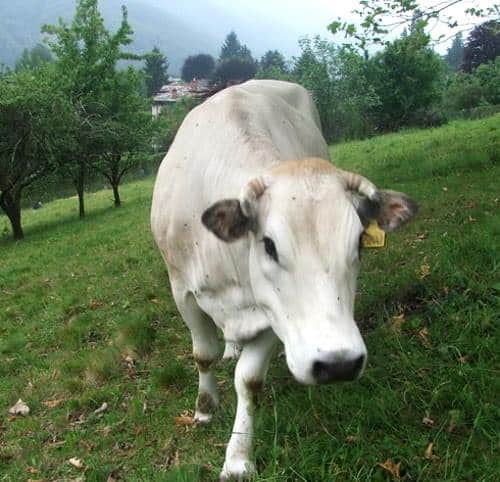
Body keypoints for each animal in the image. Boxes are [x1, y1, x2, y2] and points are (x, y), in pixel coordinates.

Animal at [149, 81, 418, 480]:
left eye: (358, 242)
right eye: (270, 245)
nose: (338, 363)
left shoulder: (274, 314)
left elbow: (248, 380)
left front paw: (238, 458)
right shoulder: (182, 291)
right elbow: (203, 354)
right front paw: (205, 407)